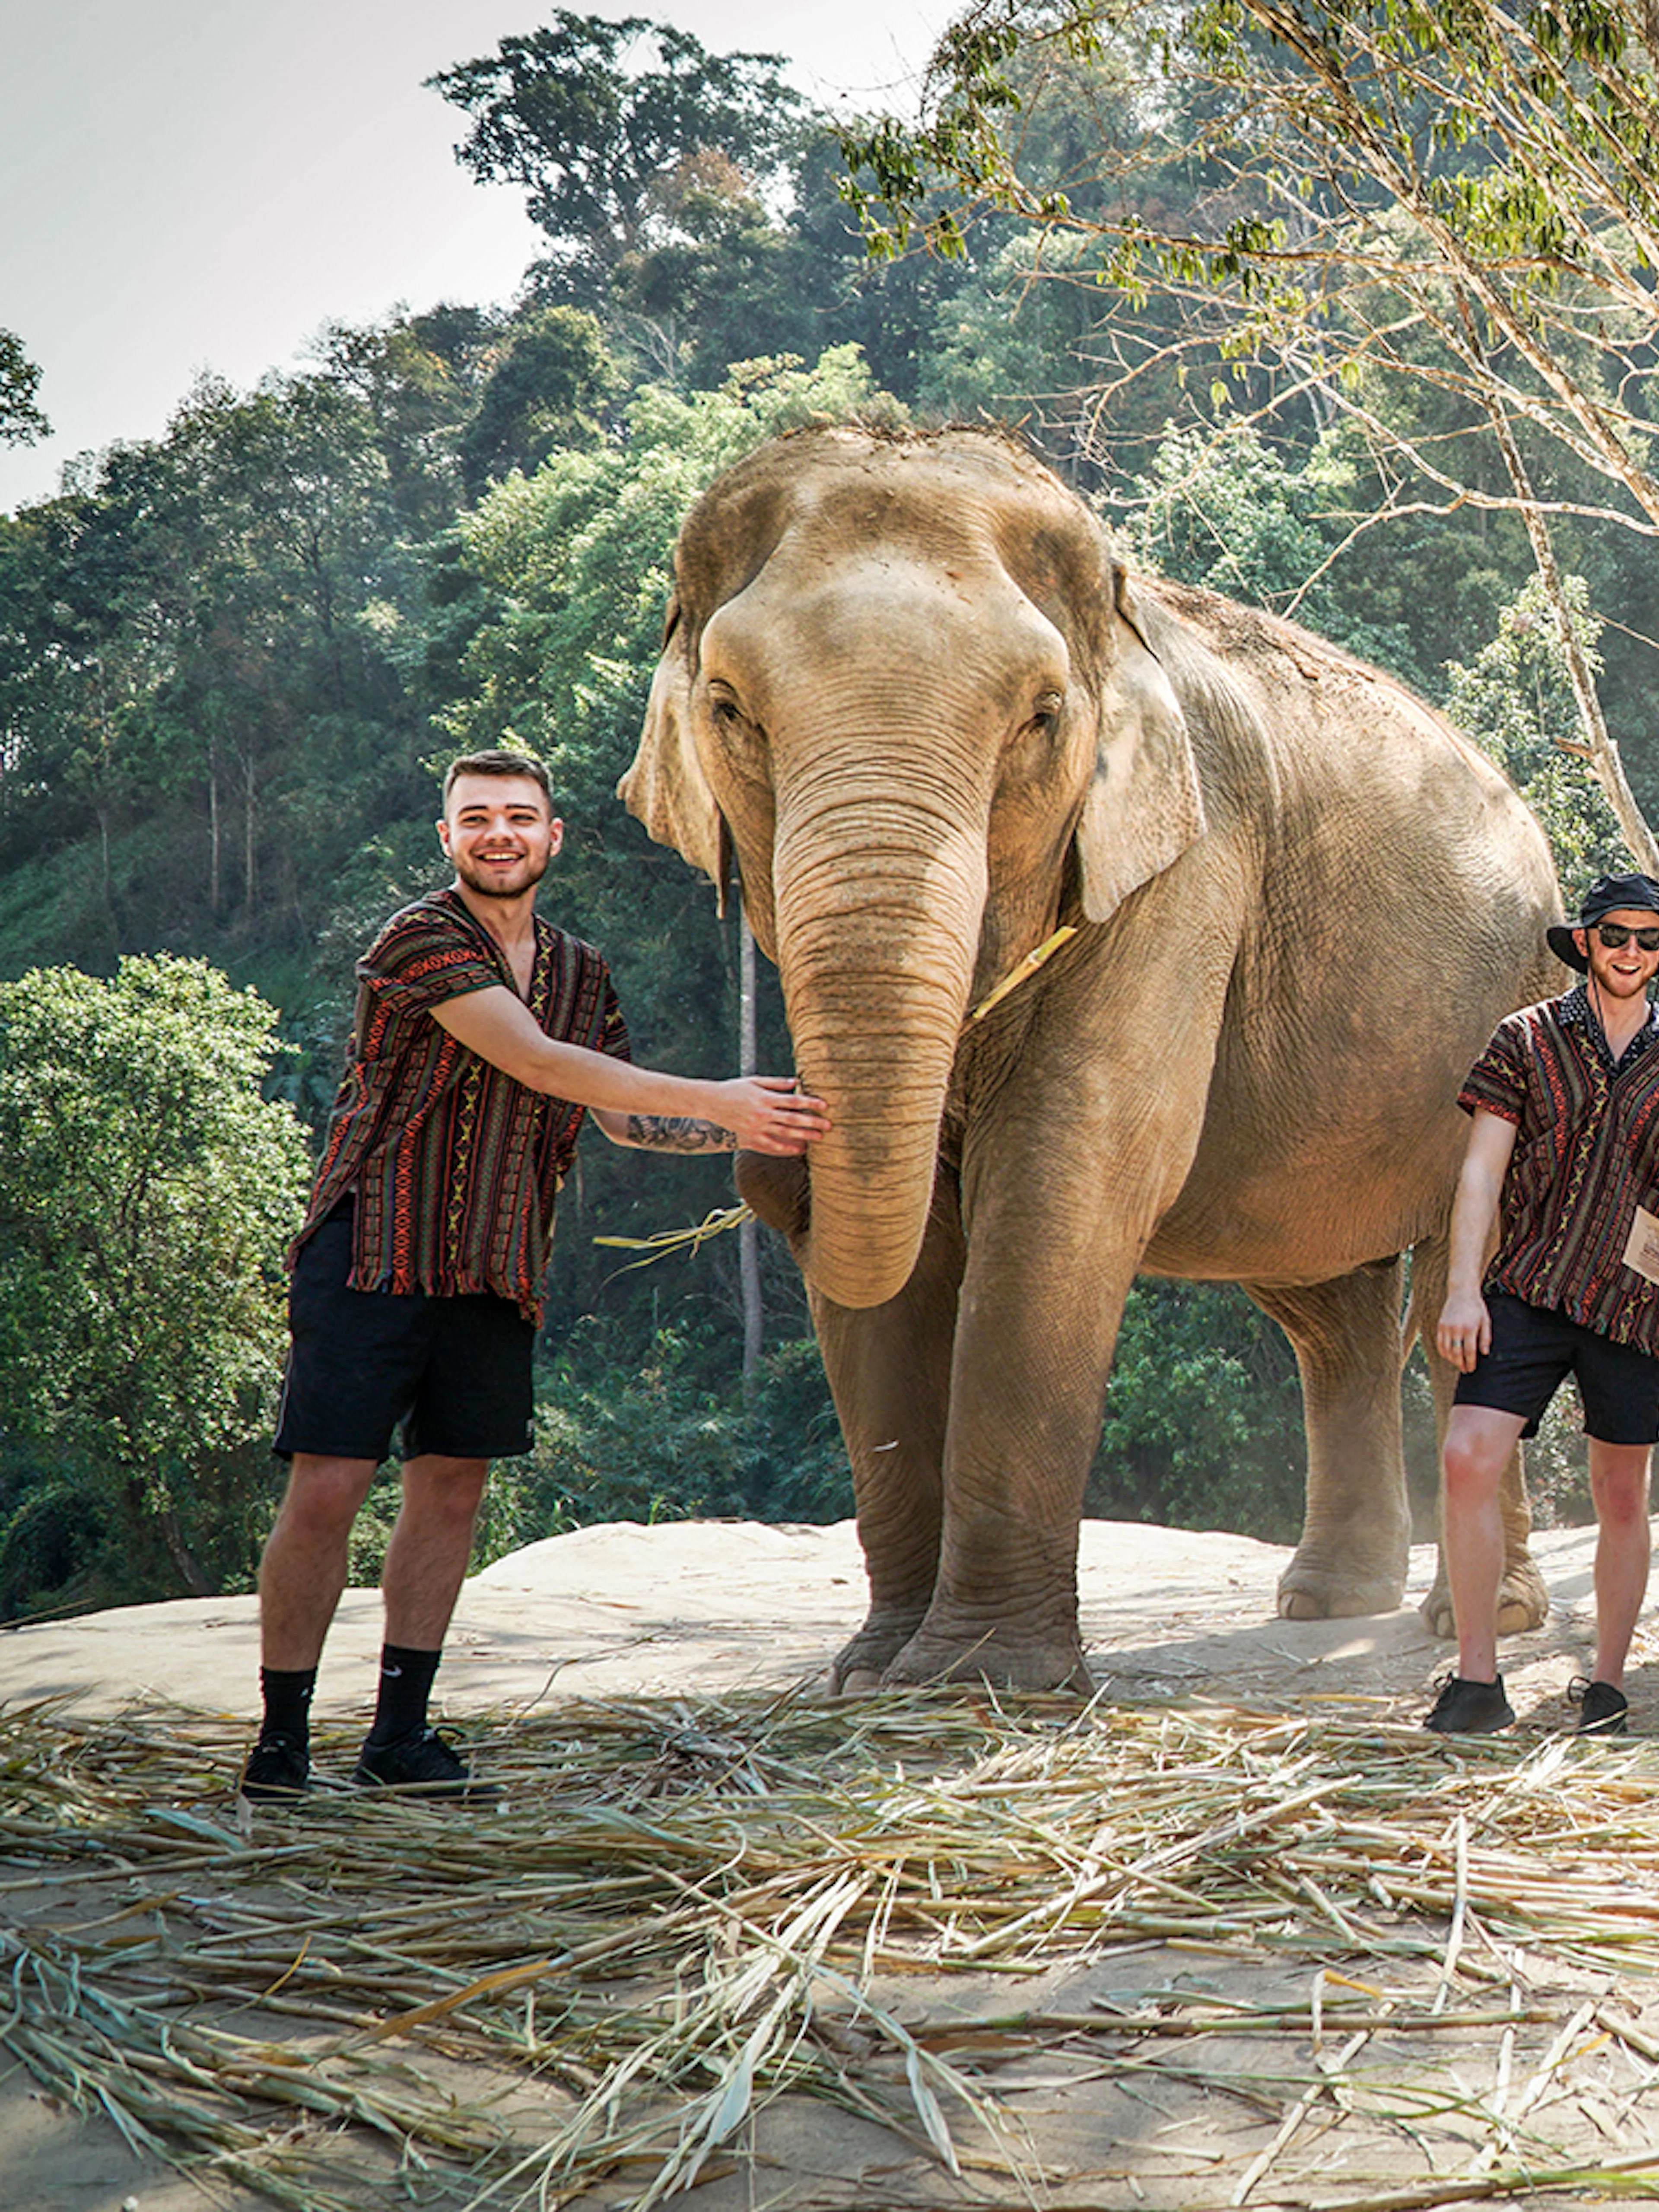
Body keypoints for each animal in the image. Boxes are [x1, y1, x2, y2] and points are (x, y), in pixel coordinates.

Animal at [620, 424, 1562, 1693]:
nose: (768, 1165)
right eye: (727, 707)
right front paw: (873, 1674)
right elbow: (910, 1245)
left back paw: (1477, 1619)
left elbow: (1062, 1180)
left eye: (1040, 717)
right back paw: (1328, 1603)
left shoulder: (1188, 867)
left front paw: (979, 1680)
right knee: (1327, 1307)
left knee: (1461, 1282)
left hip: (1519, 1005)